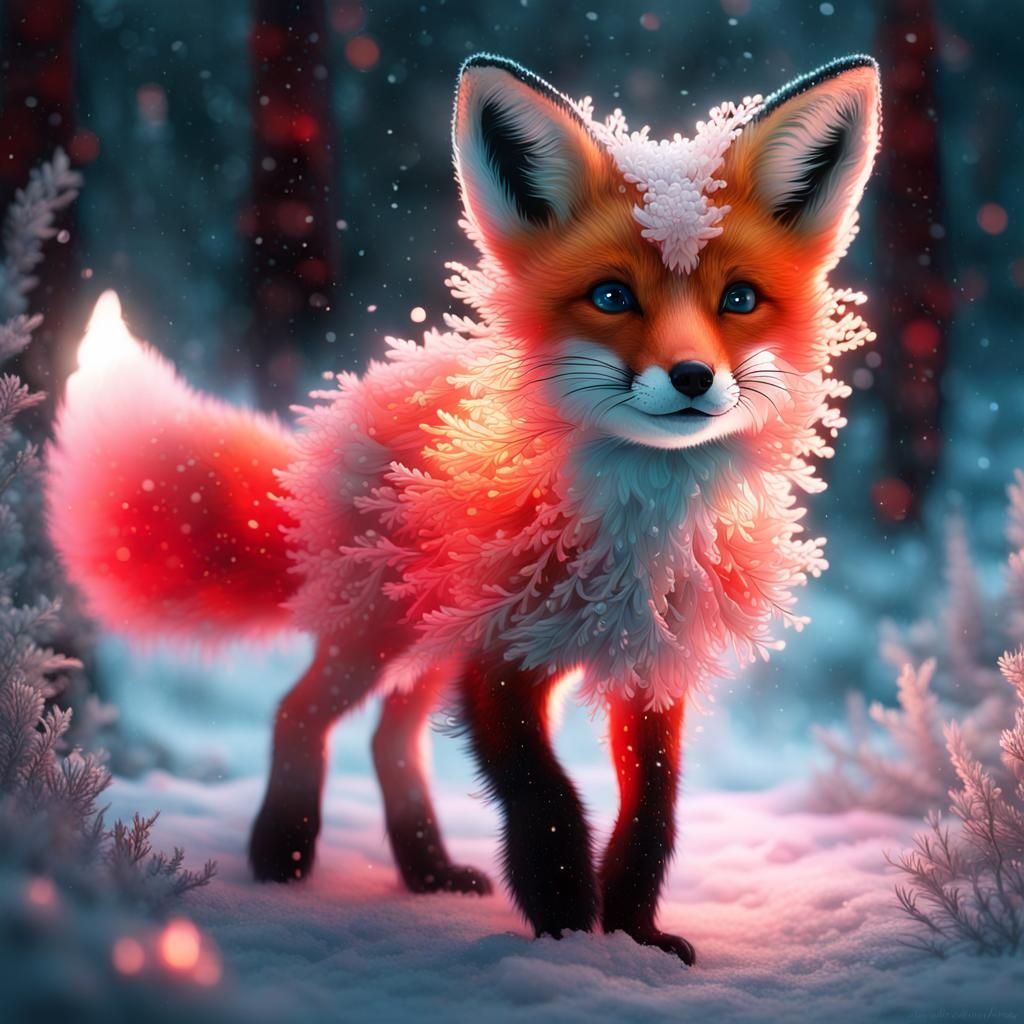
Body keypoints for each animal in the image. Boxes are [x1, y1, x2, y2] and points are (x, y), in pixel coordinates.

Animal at [46, 54, 881, 965]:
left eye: (739, 300)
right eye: (611, 297)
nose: (694, 377)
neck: (631, 531)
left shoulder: (650, 662)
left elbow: (652, 814)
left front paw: (632, 936)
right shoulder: (499, 653)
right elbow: (544, 799)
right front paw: (562, 924)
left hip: (429, 641)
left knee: (389, 738)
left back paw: (426, 871)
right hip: (385, 631)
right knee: (301, 711)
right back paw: (284, 852)